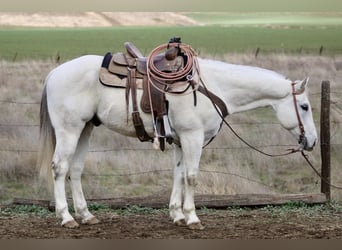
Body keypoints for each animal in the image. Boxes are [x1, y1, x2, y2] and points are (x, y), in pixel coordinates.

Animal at [38, 54, 318, 229]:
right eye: (304, 106)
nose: (312, 141)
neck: (212, 87)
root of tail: (54, 73)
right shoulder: (193, 137)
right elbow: (191, 177)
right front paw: (192, 218)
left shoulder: (182, 140)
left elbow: (178, 175)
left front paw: (177, 214)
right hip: (69, 130)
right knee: (59, 168)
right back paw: (66, 217)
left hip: (85, 129)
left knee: (75, 170)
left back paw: (86, 216)